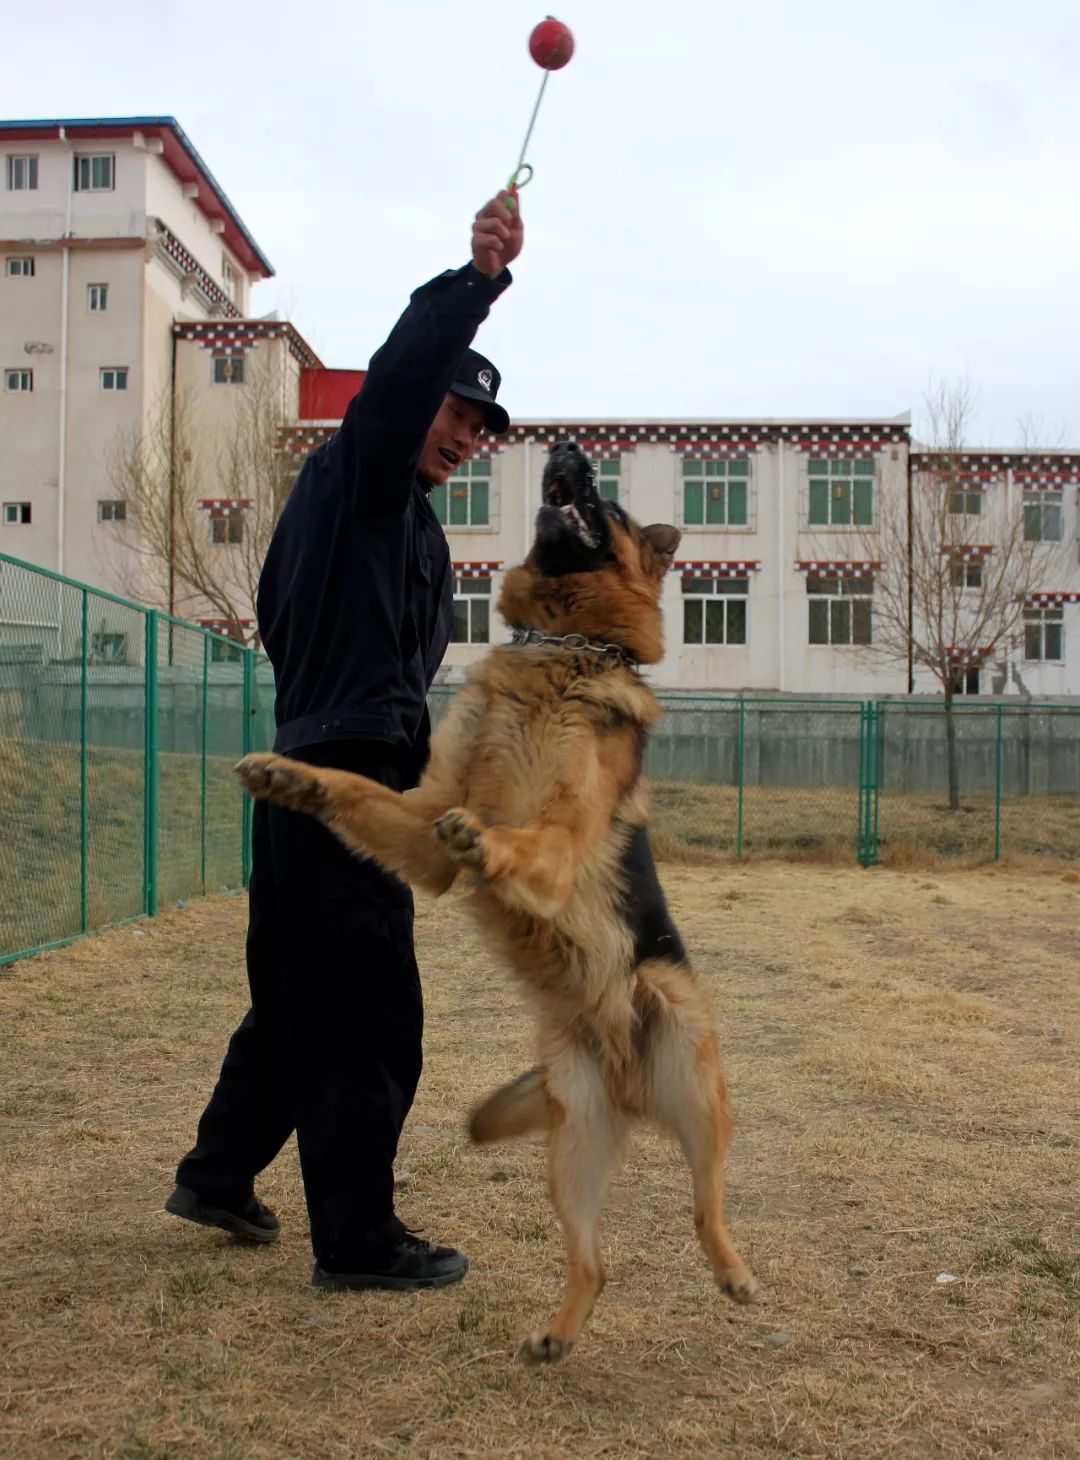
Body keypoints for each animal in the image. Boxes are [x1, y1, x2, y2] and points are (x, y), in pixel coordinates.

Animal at [236, 438, 758, 1360]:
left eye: (609, 506)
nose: (569, 447)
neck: (561, 642)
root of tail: (628, 1082)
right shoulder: (415, 822)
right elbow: (354, 790)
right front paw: (292, 777)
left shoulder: (562, 834)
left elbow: (528, 842)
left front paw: (486, 842)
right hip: (571, 1153)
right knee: (596, 1262)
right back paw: (557, 1335)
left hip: (697, 1090)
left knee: (706, 1206)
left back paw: (733, 1272)